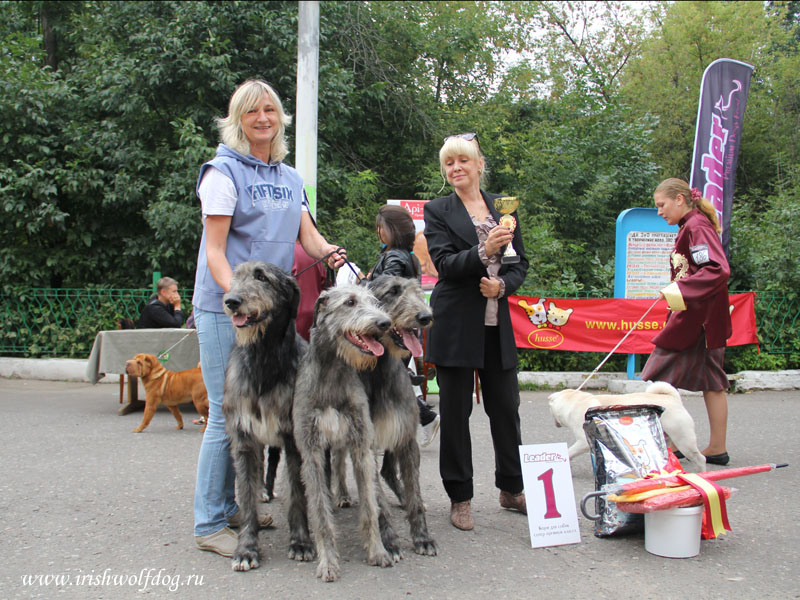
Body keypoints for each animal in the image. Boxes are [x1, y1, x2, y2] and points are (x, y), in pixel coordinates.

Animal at [223, 262, 318, 572]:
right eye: (235, 277)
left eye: (262, 277)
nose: (231, 301)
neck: (263, 359)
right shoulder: (244, 440)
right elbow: (246, 496)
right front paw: (246, 548)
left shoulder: (293, 438)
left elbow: (298, 494)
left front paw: (301, 542)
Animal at [292, 286, 396, 580]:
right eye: (350, 302)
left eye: (375, 302)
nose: (385, 323)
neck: (332, 373)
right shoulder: (311, 450)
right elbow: (319, 511)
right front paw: (327, 561)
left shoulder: (361, 444)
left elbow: (370, 505)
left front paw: (377, 551)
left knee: (340, 461)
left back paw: (343, 495)